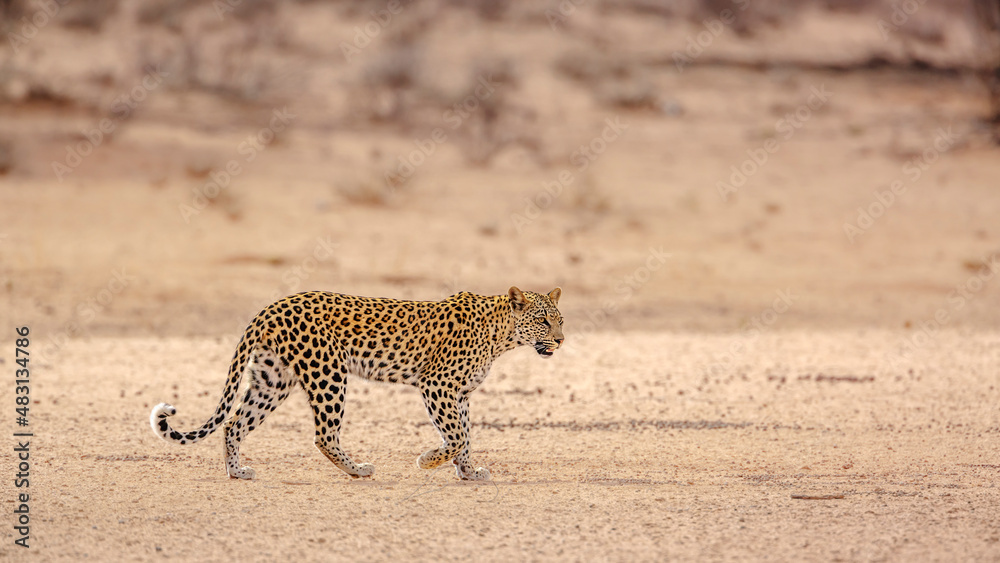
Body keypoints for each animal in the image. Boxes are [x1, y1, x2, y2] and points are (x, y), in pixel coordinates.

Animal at [150, 286, 564, 481]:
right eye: (543, 320)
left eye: (560, 320)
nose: (560, 340)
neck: (502, 336)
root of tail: (271, 307)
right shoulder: (437, 385)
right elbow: (458, 436)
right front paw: (428, 461)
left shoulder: (459, 393)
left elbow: (465, 435)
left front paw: (468, 472)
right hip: (328, 373)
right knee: (323, 435)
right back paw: (358, 470)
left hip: (272, 379)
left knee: (235, 423)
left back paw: (237, 471)